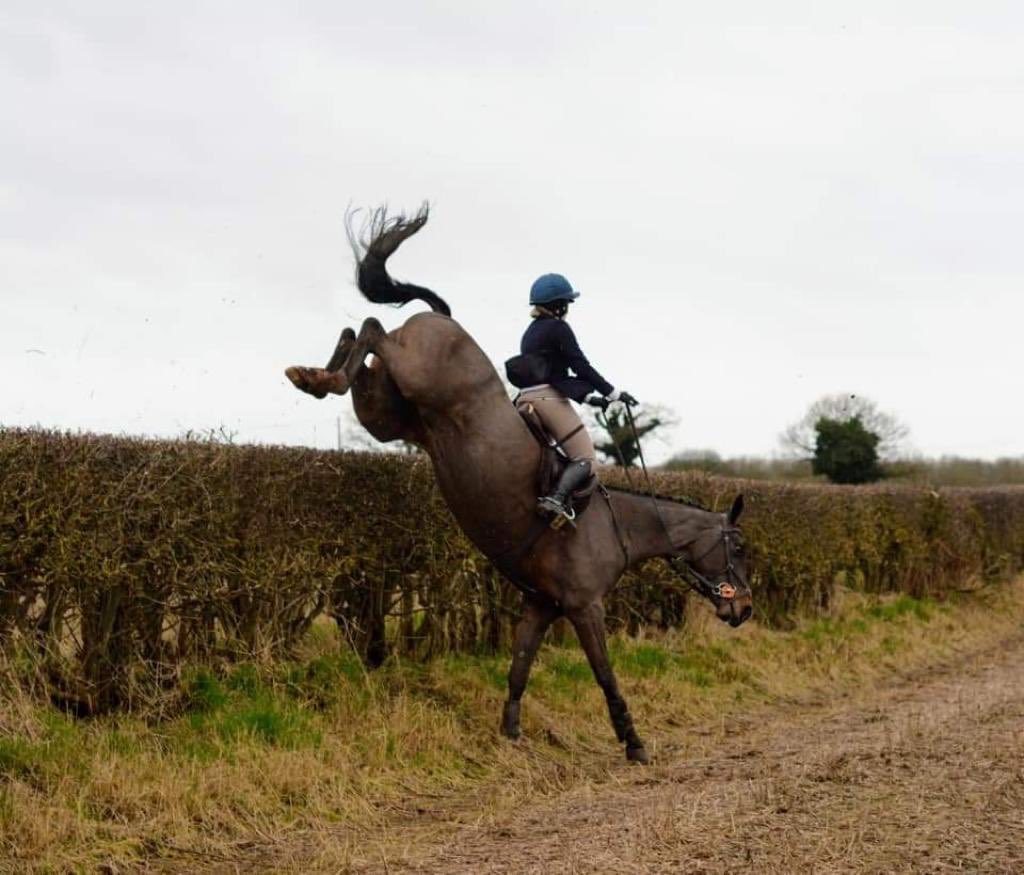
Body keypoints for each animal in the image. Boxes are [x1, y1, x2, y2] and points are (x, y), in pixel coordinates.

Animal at [282, 203, 753, 762]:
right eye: (740, 548)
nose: (745, 608)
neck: (619, 527)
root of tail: (444, 318)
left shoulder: (540, 606)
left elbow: (519, 669)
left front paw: (510, 736)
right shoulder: (584, 607)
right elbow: (605, 676)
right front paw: (634, 743)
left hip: (384, 411)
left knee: (359, 340)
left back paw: (312, 375)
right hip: (411, 373)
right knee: (374, 328)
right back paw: (318, 377)